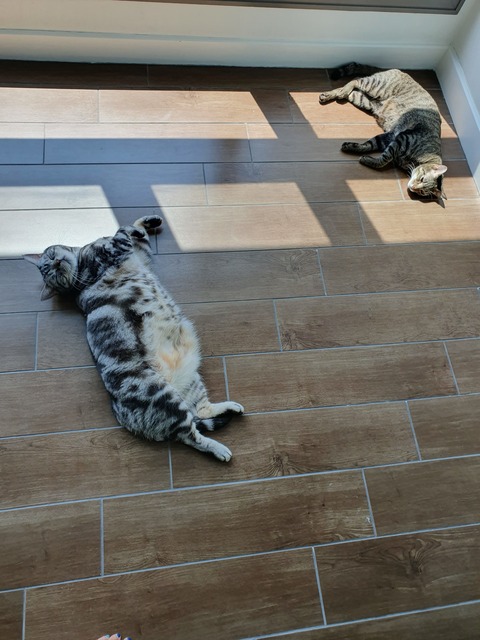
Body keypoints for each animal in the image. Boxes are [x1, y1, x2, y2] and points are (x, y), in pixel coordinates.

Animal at [24, 216, 244, 462]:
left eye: (51, 258)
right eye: (52, 272)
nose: (57, 263)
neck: (81, 263)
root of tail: (122, 414)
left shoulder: (141, 255)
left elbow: (137, 233)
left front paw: (149, 222)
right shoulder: (115, 249)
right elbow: (121, 231)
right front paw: (136, 227)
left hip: (191, 384)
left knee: (201, 410)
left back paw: (231, 406)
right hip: (164, 397)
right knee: (190, 434)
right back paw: (220, 450)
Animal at [319, 62, 447, 201]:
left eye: (422, 192)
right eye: (422, 179)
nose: (412, 188)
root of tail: (399, 70)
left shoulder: (388, 138)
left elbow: (369, 144)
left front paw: (353, 147)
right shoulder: (400, 139)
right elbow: (383, 160)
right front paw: (369, 160)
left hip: (364, 100)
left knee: (354, 91)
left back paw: (330, 94)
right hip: (377, 86)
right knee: (356, 80)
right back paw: (339, 92)